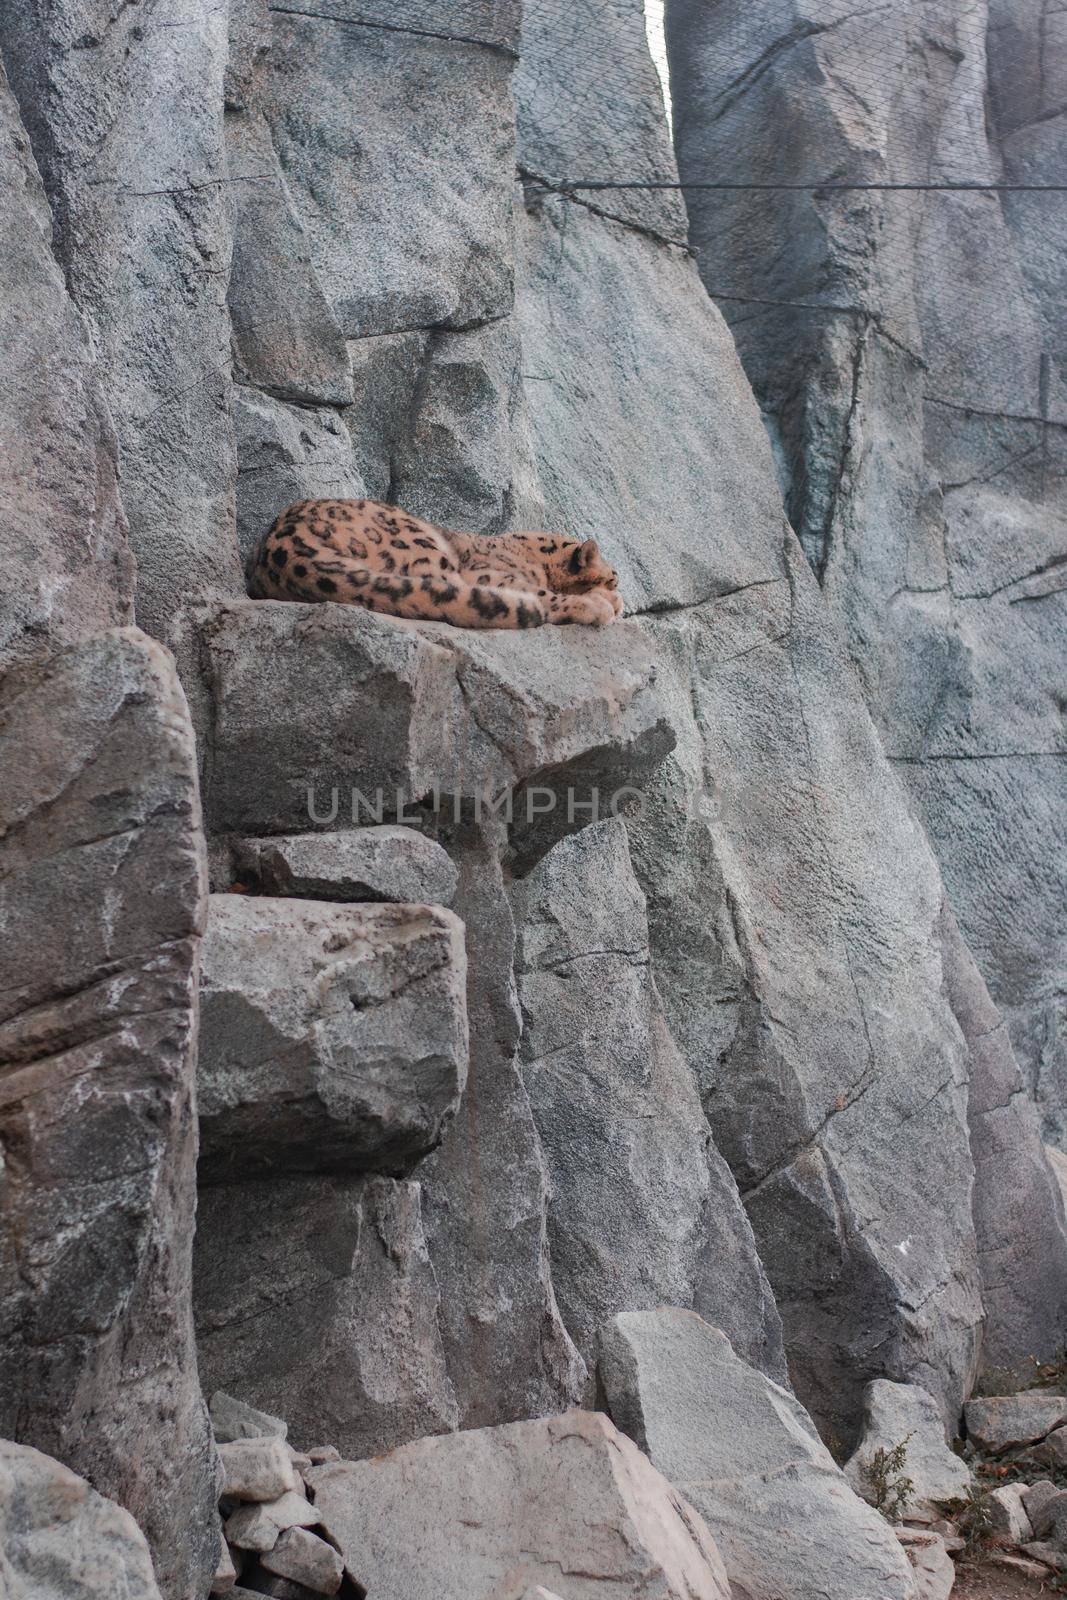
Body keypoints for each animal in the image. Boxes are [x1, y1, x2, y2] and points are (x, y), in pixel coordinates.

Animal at [246, 496, 627, 627]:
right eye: (615, 576)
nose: (619, 591)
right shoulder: (491, 574)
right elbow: (541, 592)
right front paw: (604, 602)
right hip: (420, 543)